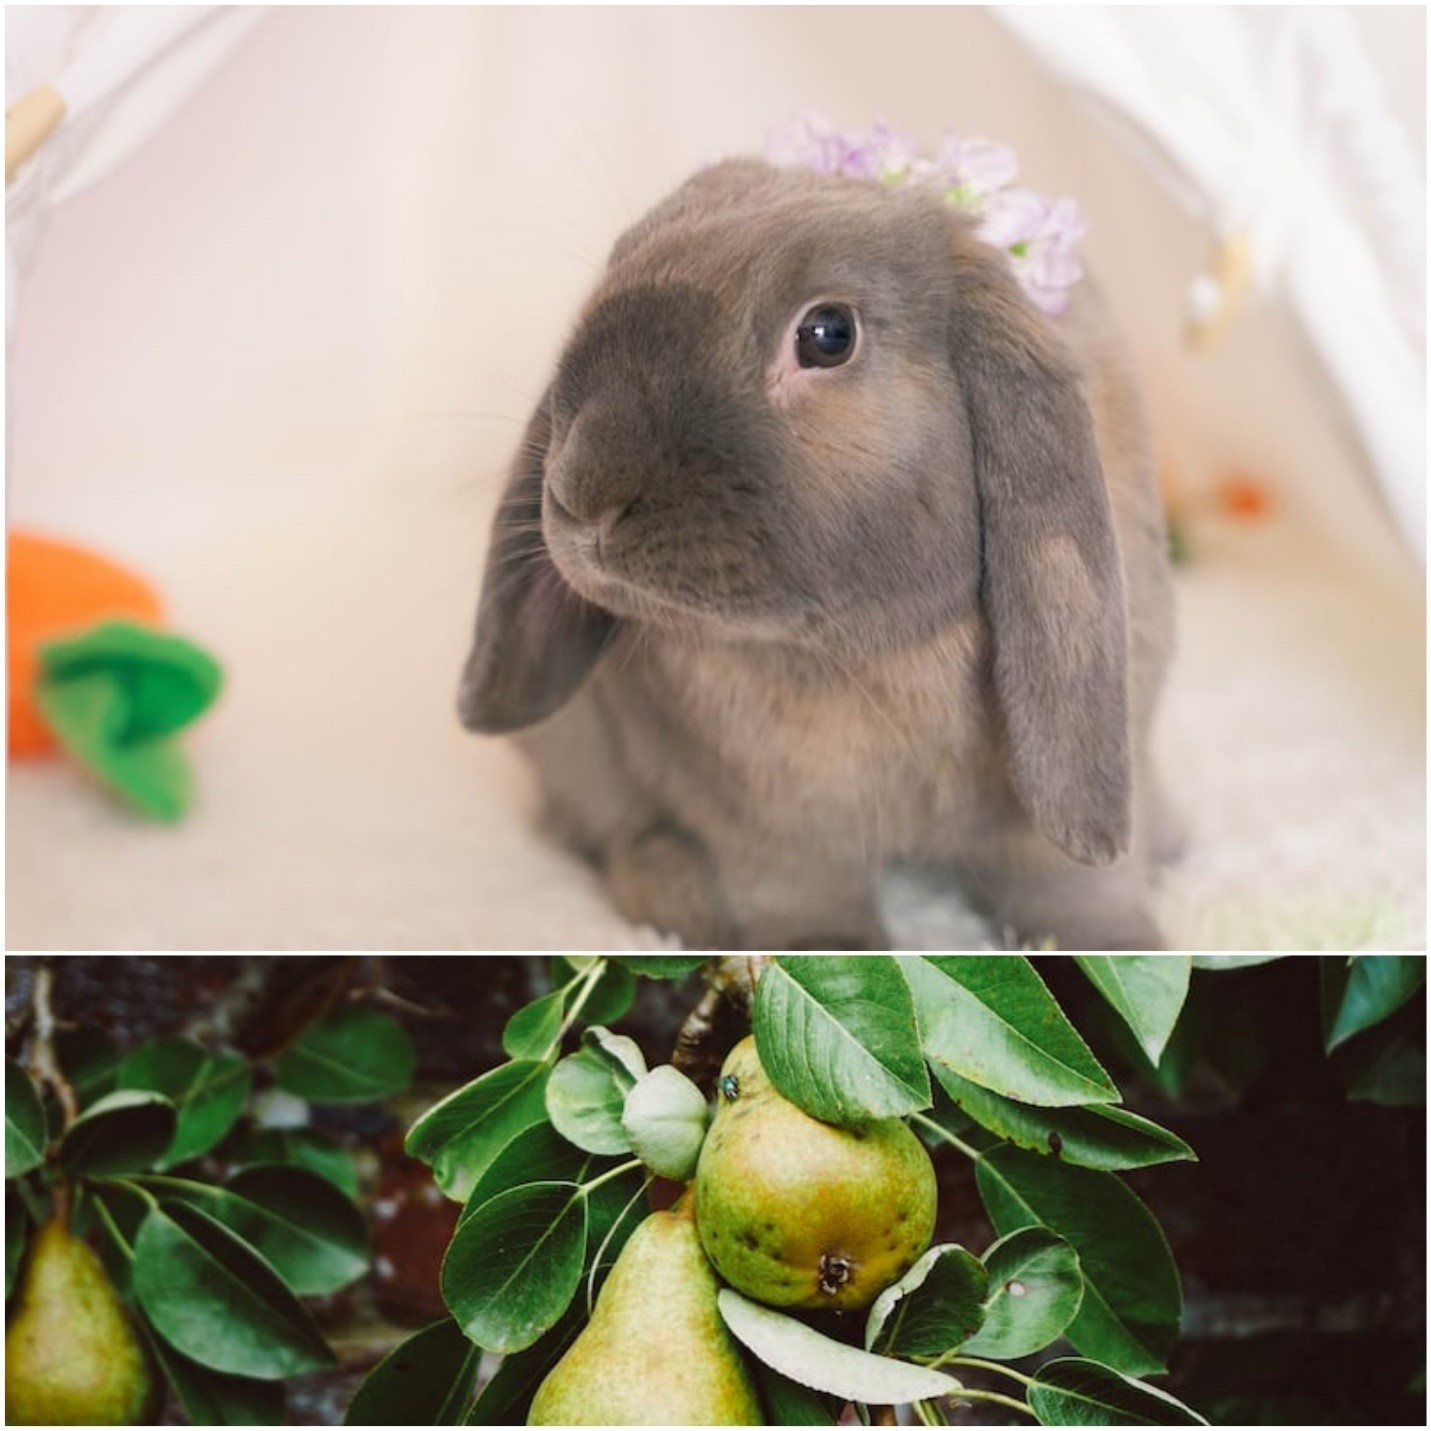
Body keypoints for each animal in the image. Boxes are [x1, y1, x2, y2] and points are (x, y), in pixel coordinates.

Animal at [457, 157, 1177, 951]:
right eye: (616, 269)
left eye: (828, 336)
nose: (580, 492)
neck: (859, 654)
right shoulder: (769, 825)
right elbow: (802, 901)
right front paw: (830, 951)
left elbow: (1076, 889)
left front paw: (1126, 946)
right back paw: (673, 892)